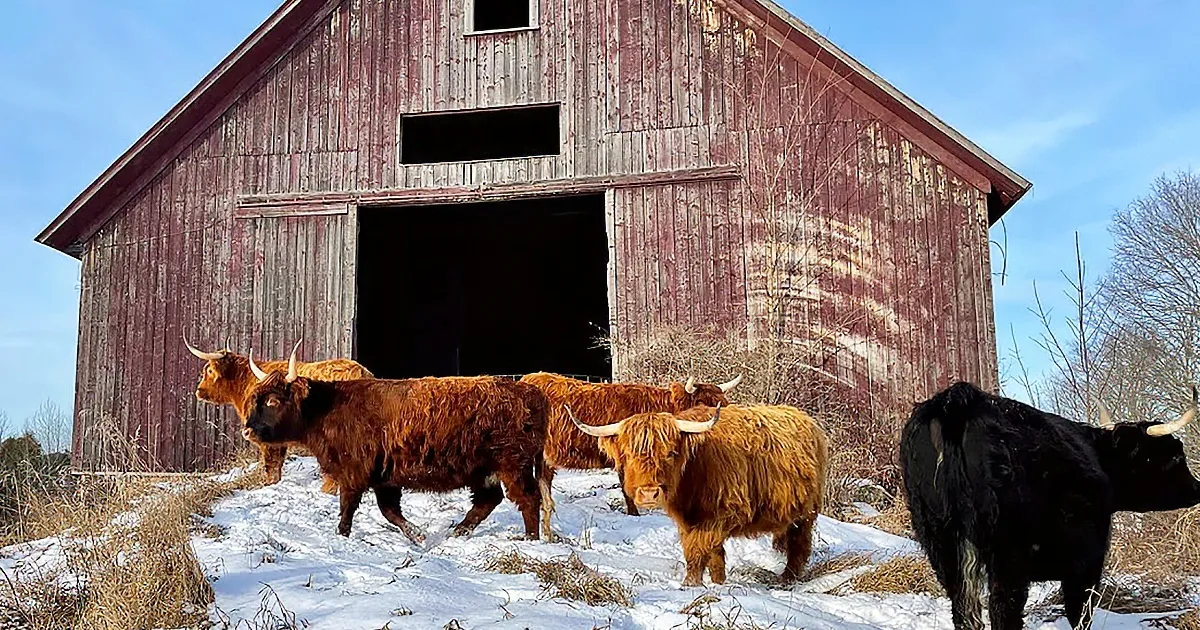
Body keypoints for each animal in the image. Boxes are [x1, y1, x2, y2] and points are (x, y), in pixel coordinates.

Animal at [241, 343, 550, 543]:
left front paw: (342, 536)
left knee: (528, 499)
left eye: (272, 401)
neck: (327, 408)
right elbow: (389, 511)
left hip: (513, 464)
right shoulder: (384, 476)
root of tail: (530, 392)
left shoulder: (354, 472)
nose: (247, 430)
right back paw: (458, 532)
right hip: (484, 470)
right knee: (488, 500)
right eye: (256, 398)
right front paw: (418, 535)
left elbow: (348, 508)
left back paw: (530, 540)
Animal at [568, 403, 829, 587]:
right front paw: (717, 582)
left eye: (670, 453)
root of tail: (808, 420)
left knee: (799, 545)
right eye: (629, 454)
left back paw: (788, 579)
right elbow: (710, 553)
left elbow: (698, 548)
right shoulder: (689, 519)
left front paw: (690, 584)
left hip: (806, 514)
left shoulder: (722, 514)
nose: (650, 493)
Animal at [899, 381, 1200, 630]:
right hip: (1007, 554)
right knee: (1004, 609)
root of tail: (960, 399)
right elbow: (1080, 614)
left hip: (941, 542)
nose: (1198, 488)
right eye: (1175, 456)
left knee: (964, 611)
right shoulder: (1087, 564)